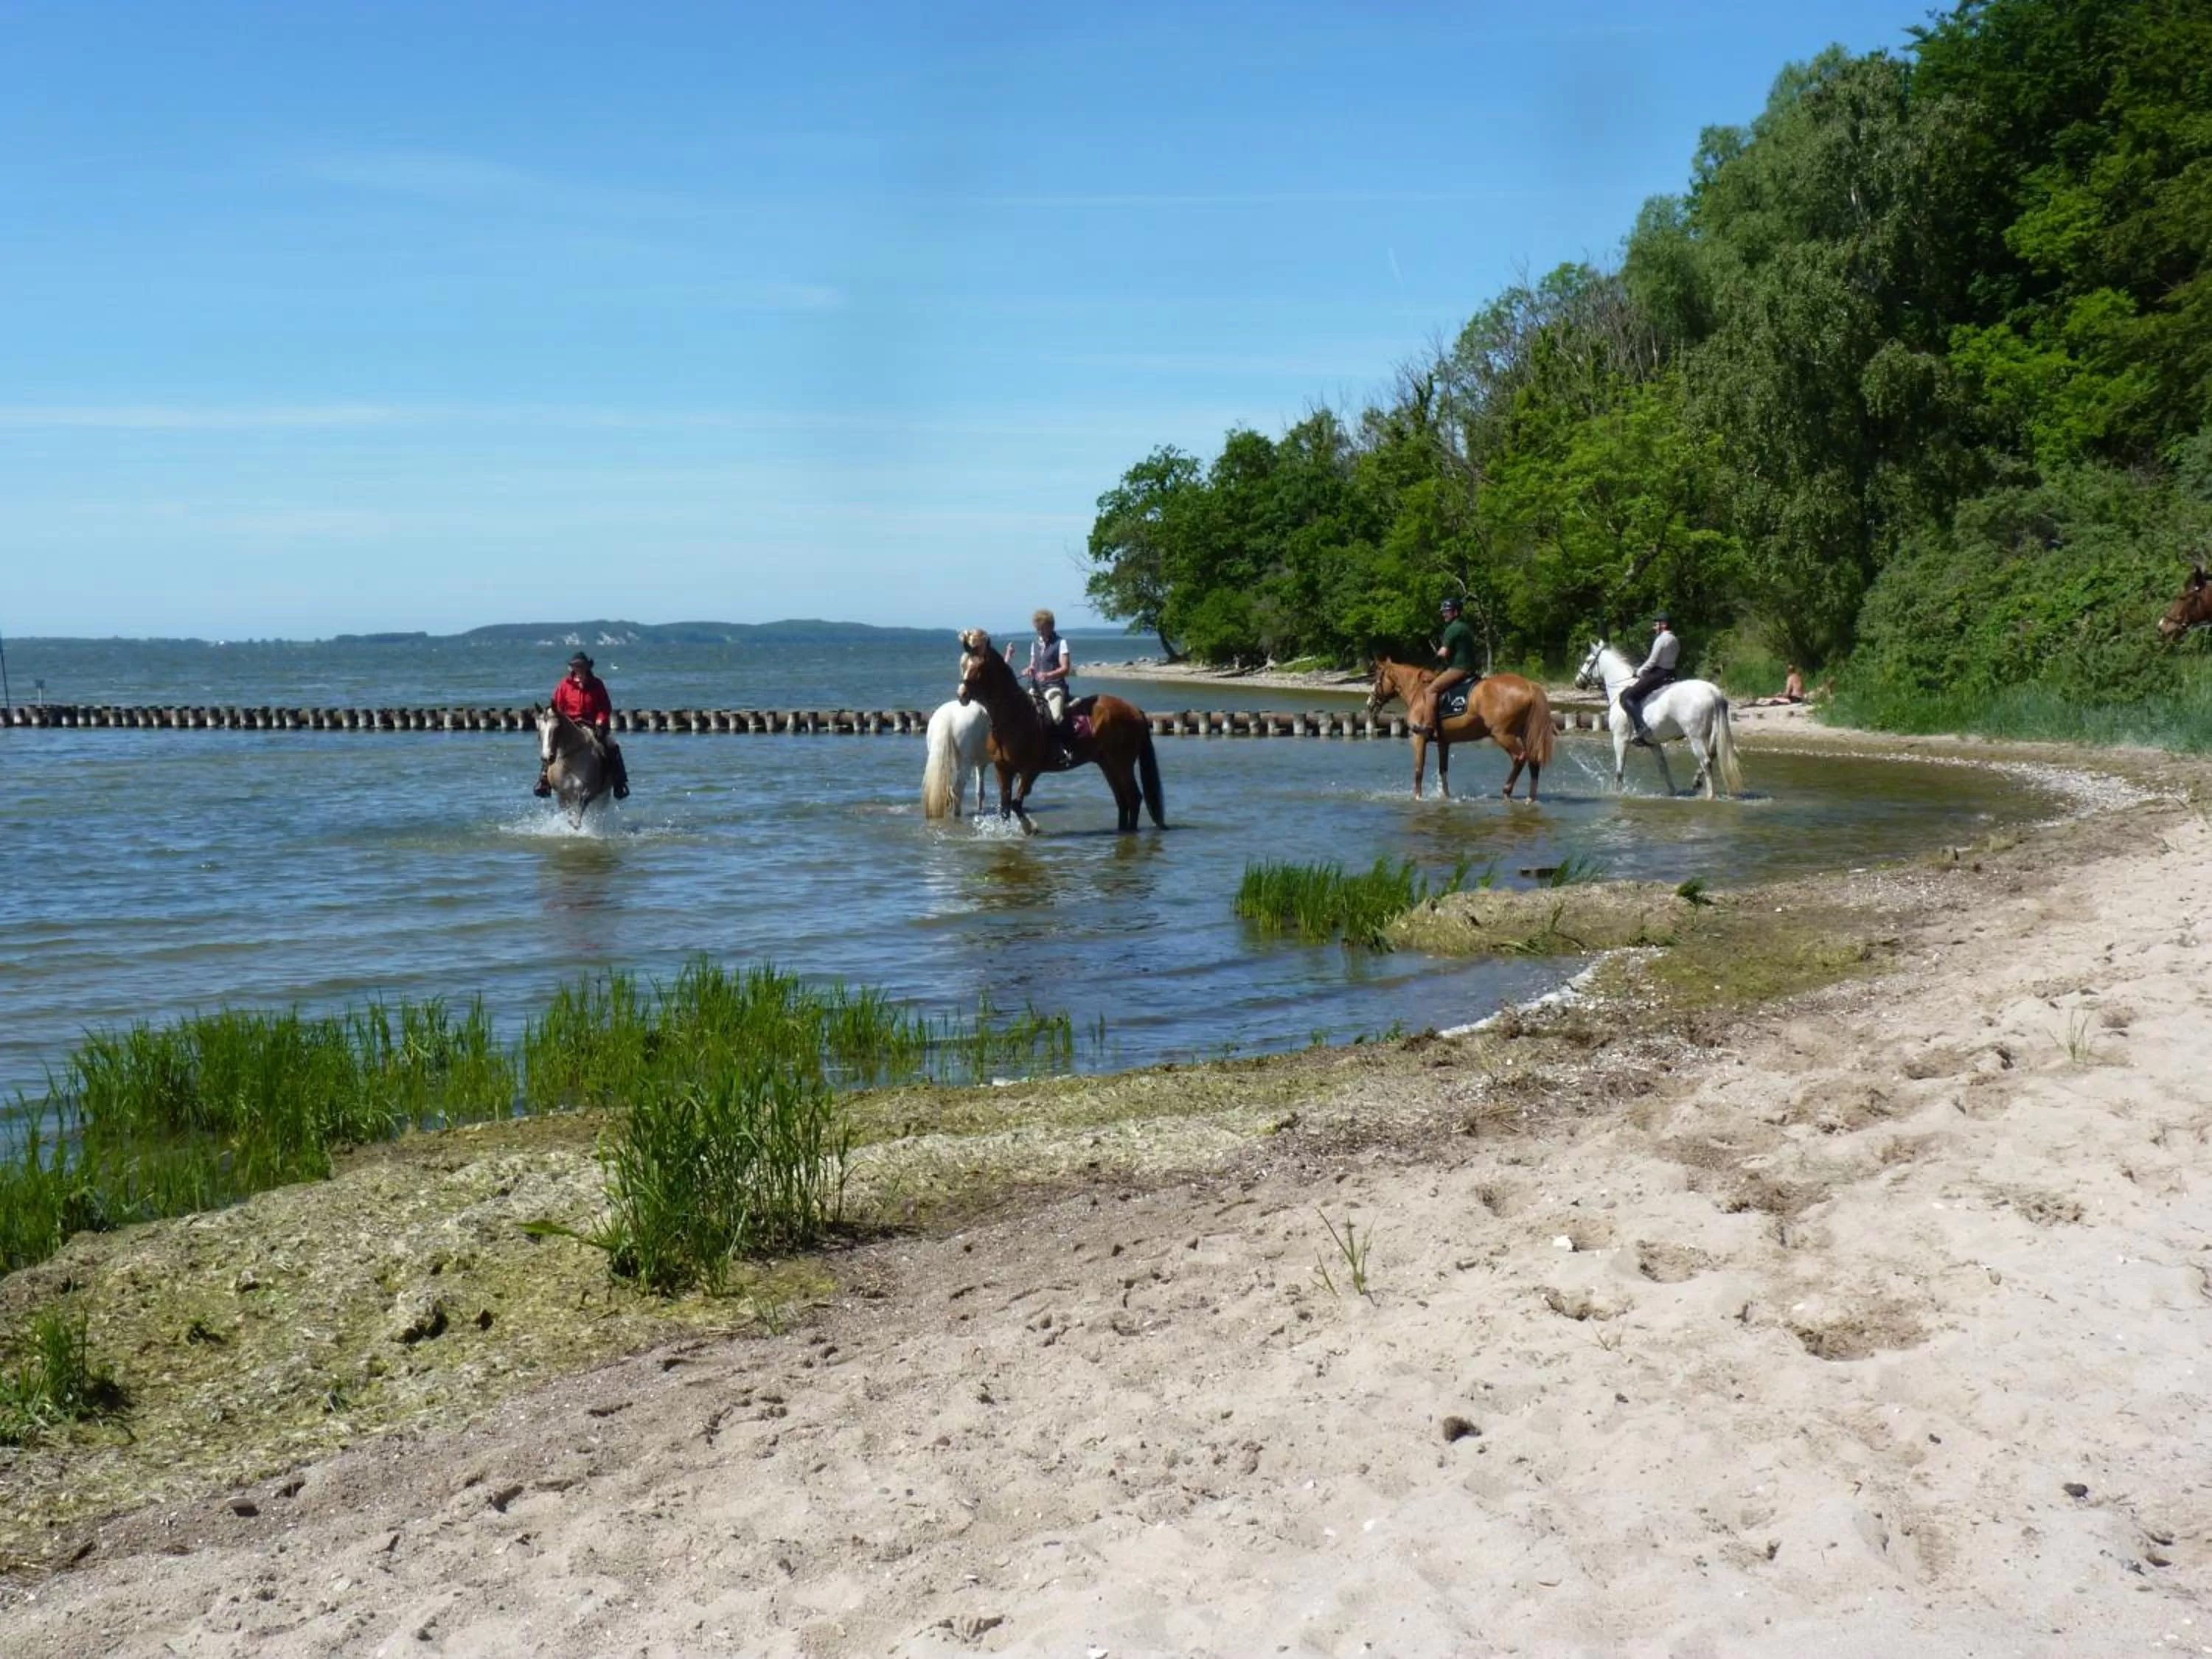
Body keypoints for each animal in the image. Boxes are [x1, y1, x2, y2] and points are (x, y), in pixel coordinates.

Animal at [533, 704, 613, 827]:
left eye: (557, 728)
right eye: (538, 729)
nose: (547, 758)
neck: (570, 763)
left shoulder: (589, 792)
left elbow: (579, 811)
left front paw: (575, 824)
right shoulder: (562, 795)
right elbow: (568, 812)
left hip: (604, 794)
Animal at [921, 698, 993, 819]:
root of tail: (948, 718)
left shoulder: (981, 763)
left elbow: (980, 790)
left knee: (949, 789)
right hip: (965, 762)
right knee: (957, 789)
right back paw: (957, 814)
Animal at [954, 627, 1165, 833]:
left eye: (979, 667)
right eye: (963, 666)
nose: (961, 695)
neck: (1013, 716)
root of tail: (1135, 709)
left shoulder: (1030, 770)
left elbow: (1016, 804)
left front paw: (1030, 827)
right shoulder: (1003, 769)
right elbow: (1005, 808)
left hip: (1122, 764)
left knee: (1133, 798)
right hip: (1108, 764)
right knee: (1122, 800)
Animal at [1365, 658, 1555, 802]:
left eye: (1377, 680)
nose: (1370, 704)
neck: (1418, 691)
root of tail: (1529, 686)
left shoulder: (1419, 738)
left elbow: (1419, 771)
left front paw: (1418, 798)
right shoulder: (1444, 742)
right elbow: (1443, 771)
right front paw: (1446, 797)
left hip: (1503, 735)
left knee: (1520, 757)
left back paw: (1507, 791)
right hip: (1526, 735)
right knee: (1533, 761)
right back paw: (1530, 798)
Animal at [1573, 640, 1743, 799]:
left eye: (1588, 661)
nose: (1578, 681)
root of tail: (1712, 691)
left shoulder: (1620, 739)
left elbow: (1620, 771)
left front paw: (1617, 793)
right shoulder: (1653, 743)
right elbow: (1663, 768)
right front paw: (1672, 792)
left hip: (1696, 737)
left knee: (1706, 761)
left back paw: (1709, 795)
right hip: (1712, 734)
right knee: (1712, 756)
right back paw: (1696, 782)